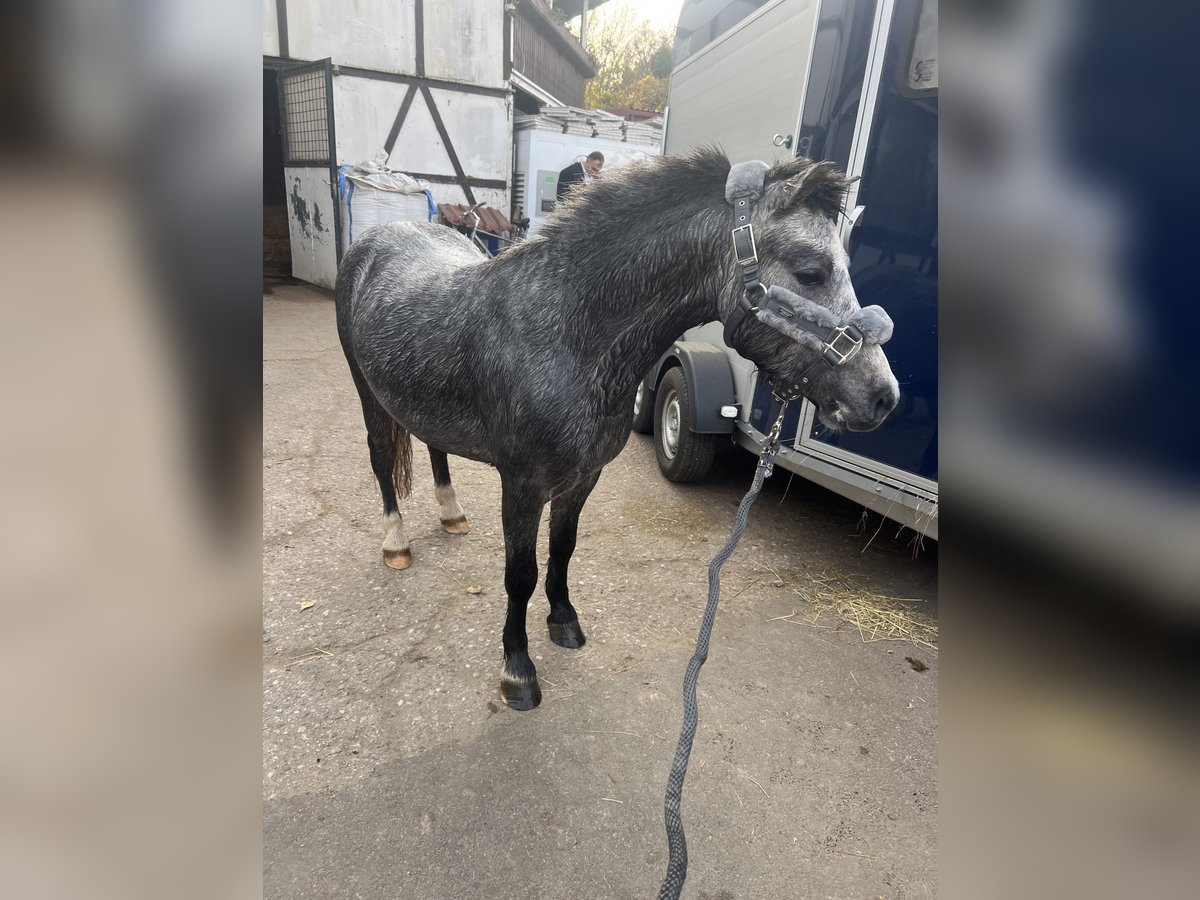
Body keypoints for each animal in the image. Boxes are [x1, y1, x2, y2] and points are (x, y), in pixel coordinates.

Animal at [333, 148, 897, 710]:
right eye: (811, 272)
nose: (882, 397)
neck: (567, 334)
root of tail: (378, 237)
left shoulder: (584, 478)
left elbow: (563, 550)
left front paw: (564, 622)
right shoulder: (522, 485)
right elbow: (520, 575)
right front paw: (518, 671)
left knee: (434, 449)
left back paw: (452, 514)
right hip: (367, 393)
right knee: (381, 460)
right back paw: (396, 545)